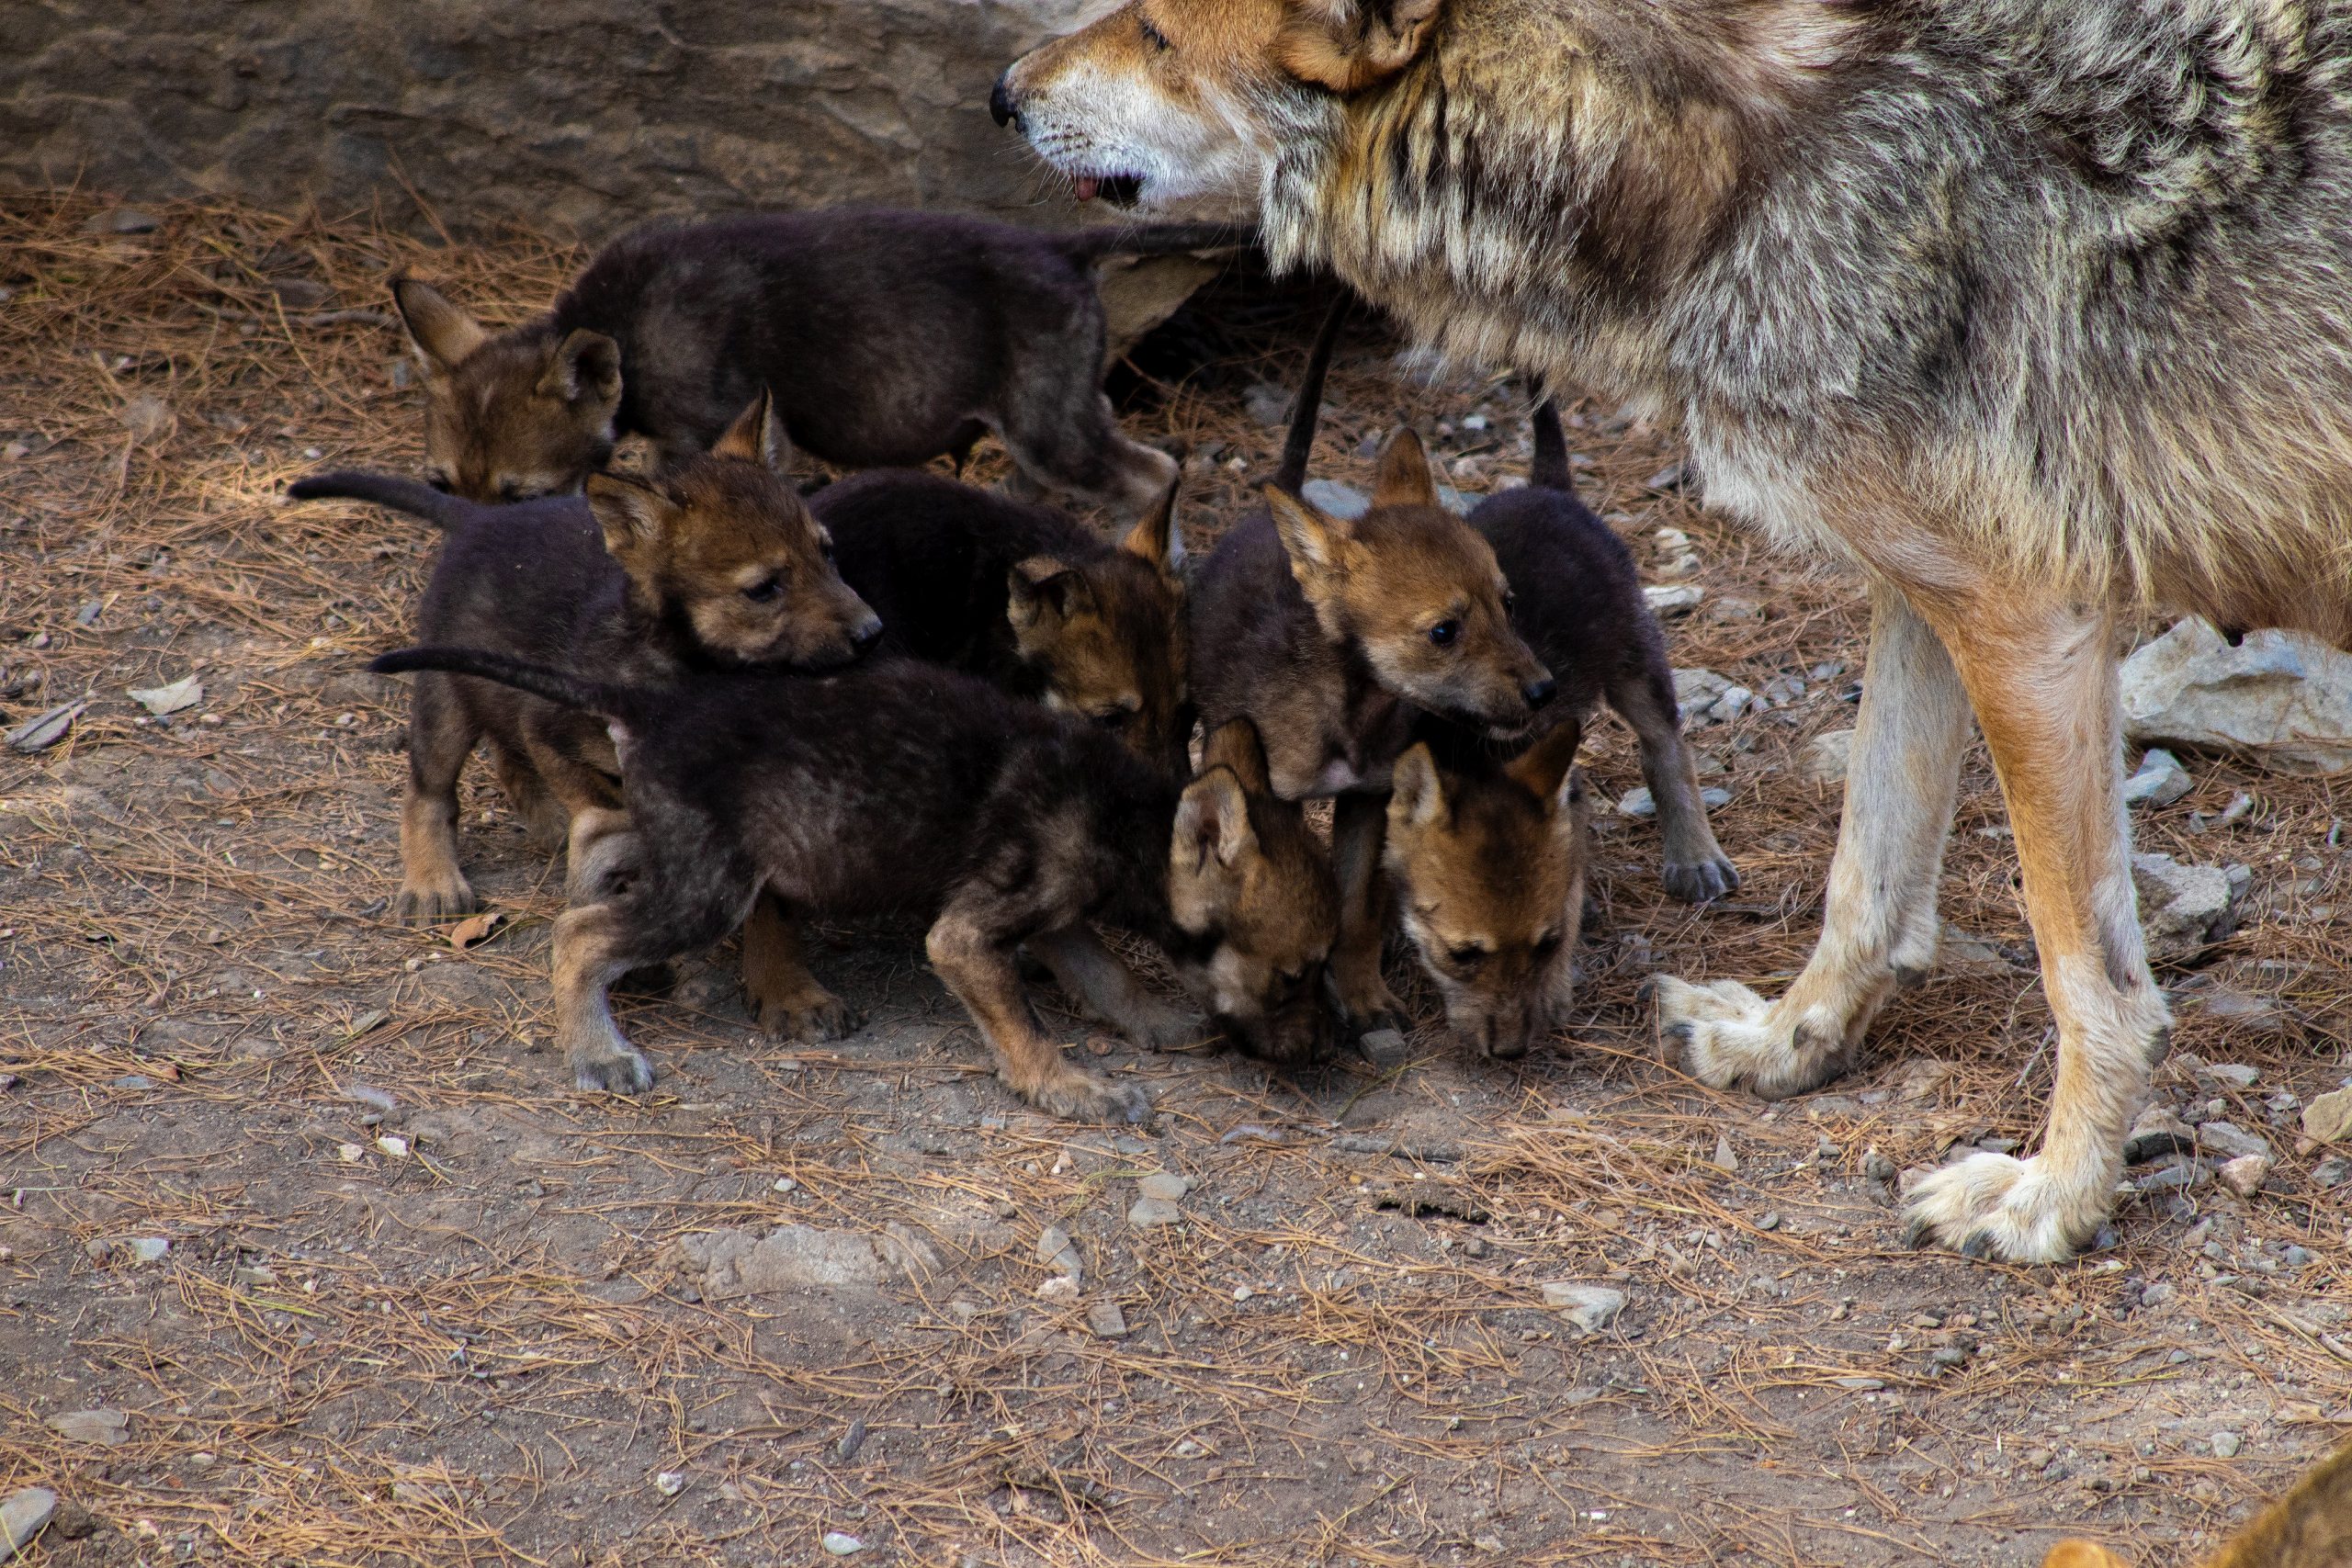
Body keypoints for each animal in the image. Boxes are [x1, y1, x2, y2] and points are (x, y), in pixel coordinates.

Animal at [996, 0, 2352, 1261]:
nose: (1004, 92)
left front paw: (2052, 1201)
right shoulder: (1928, 593)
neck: (1753, 165)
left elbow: (2090, 974)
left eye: (1156, 31)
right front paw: (1789, 1045)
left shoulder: (2032, 617)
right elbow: (1864, 873)